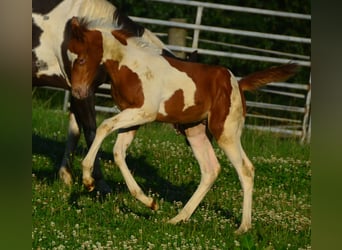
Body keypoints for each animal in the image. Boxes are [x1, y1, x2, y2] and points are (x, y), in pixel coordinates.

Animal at [32, 0, 171, 192]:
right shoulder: (82, 93)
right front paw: (99, 182)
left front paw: (66, 176)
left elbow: (74, 131)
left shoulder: (78, 92)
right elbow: (91, 132)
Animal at [68, 18, 298, 234]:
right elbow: (118, 152)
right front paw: (149, 202)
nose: (77, 92)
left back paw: (243, 227)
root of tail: (238, 84)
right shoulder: (134, 117)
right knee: (210, 170)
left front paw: (87, 178)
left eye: (81, 59)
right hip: (194, 131)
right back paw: (178, 218)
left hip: (225, 132)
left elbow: (104, 126)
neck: (132, 67)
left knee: (245, 169)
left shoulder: (145, 113)